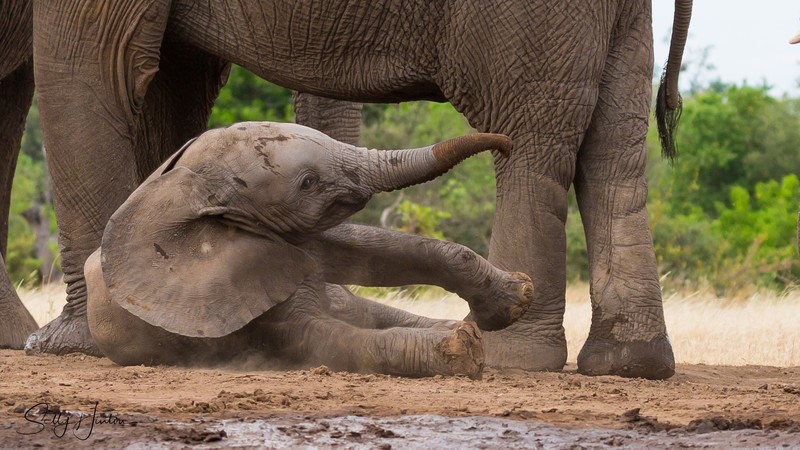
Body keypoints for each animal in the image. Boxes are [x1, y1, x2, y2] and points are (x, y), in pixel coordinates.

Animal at [84, 121, 533, 378]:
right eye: (307, 183)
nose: (507, 145)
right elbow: (318, 339)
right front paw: (462, 349)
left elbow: (361, 250)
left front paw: (515, 299)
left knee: (361, 307)